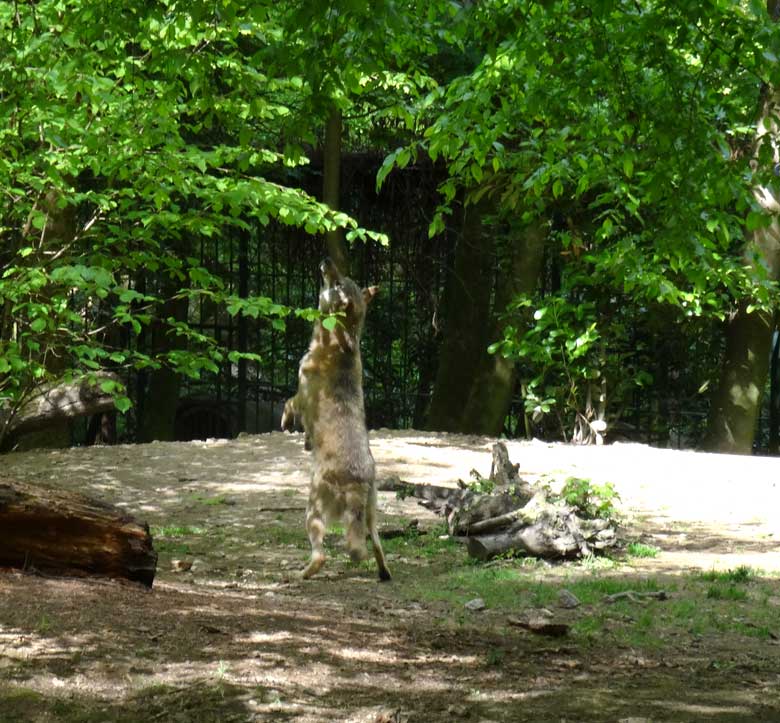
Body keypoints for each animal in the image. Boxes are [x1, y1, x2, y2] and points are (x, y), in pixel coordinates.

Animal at [280, 260, 390, 584]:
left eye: (338, 282)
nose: (327, 260)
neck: (340, 340)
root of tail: (356, 482)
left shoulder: (301, 395)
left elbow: (287, 404)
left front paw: (286, 423)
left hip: (312, 513)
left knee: (321, 555)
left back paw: (301, 574)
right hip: (372, 519)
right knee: (376, 548)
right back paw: (383, 574)